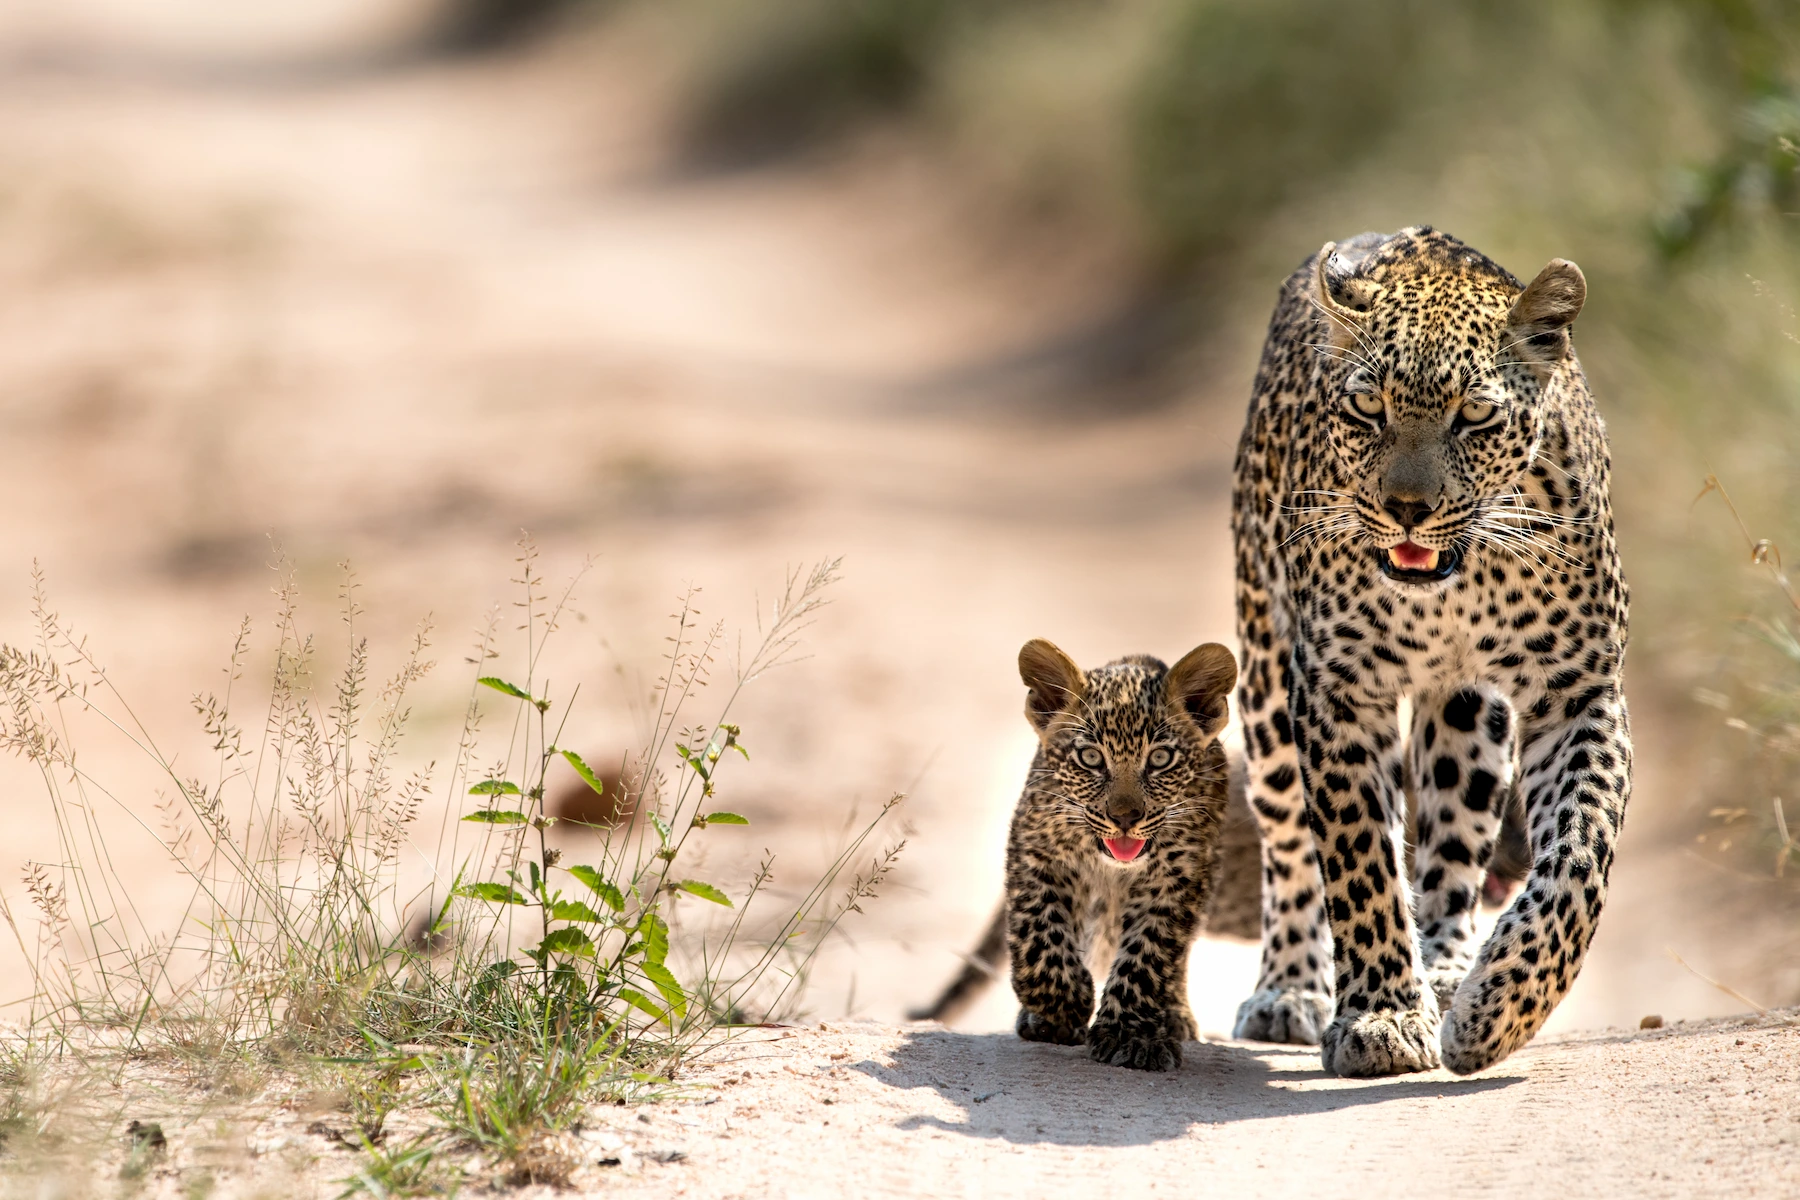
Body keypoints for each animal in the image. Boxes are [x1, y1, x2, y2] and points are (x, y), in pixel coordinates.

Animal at [1238, 227, 1634, 1079]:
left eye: (1474, 416)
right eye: (1368, 407)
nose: (1407, 510)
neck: (1458, 583)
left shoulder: (1580, 694)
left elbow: (1580, 857)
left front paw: (1500, 1007)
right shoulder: (1338, 692)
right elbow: (1358, 861)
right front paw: (1382, 1016)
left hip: (1468, 710)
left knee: (1453, 842)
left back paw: (1449, 968)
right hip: (1264, 678)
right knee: (1288, 840)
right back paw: (1290, 988)